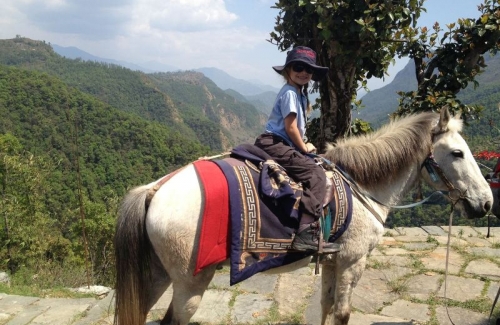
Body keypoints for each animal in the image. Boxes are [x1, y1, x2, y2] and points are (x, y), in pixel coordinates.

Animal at [113, 107, 492, 324]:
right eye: (457, 153)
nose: (486, 203)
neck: (360, 186)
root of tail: (155, 189)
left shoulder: (332, 262)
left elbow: (325, 306)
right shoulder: (353, 262)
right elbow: (342, 313)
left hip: (159, 275)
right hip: (190, 283)